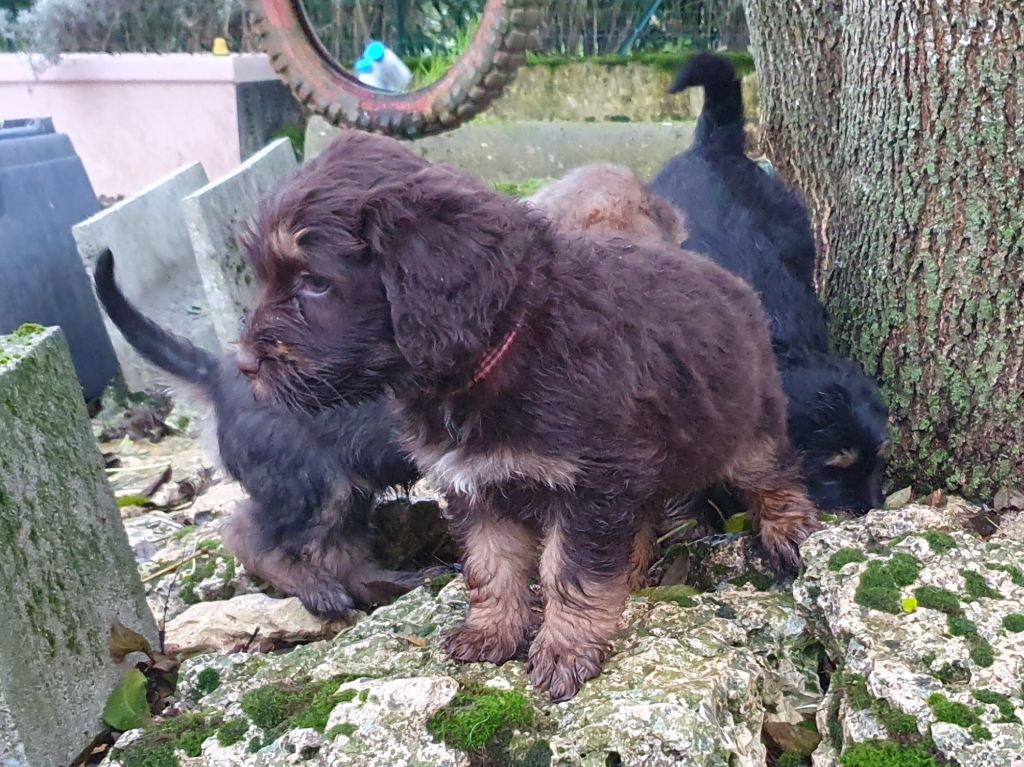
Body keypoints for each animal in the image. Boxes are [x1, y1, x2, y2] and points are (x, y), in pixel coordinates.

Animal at [94, 248, 446, 618]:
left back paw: (398, 582)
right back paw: (316, 588)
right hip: (308, 486)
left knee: (342, 556)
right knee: (245, 533)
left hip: (342, 488)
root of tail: (218, 374)